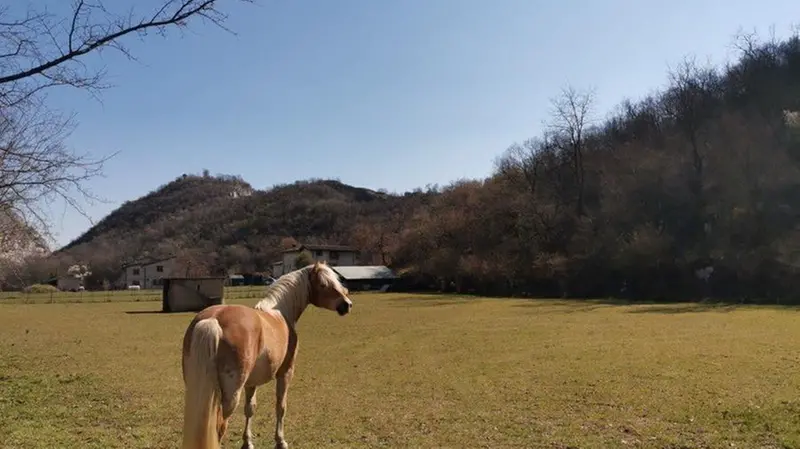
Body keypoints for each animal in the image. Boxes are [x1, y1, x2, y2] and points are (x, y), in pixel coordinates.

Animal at [183, 260, 354, 446]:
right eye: (323, 284)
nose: (347, 304)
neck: (280, 312)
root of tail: (214, 319)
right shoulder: (285, 373)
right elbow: (281, 406)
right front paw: (281, 441)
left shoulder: (251, 382)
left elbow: (250, 408)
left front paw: (248, 442)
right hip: (230, 395)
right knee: (219, 427)